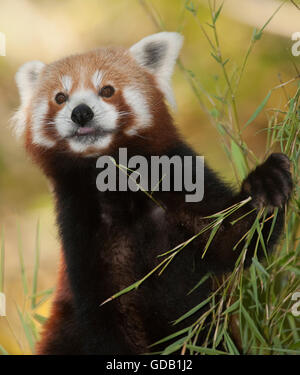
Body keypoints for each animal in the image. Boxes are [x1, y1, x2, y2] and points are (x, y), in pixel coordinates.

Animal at [14, 32, 292, 356]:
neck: (117, 188)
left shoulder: (178, 182)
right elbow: (107, 316)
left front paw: (266, 184)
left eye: (107, 90)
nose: (81, 112)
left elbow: (233, 238)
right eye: (60, 97)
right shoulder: (81, 230)